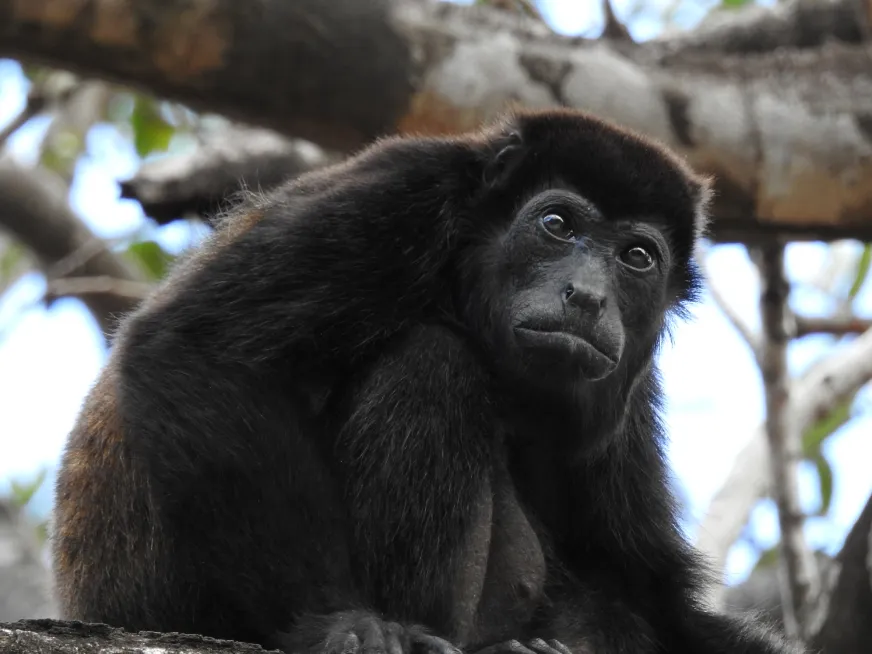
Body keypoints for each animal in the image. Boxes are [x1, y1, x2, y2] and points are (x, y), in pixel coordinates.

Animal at [51, 108, 802, 654]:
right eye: (556, 224)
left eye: (638, 256)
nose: (588, 296)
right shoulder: (403, 197)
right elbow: (198, 347)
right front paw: (339, 623)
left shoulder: (632, 385)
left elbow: (640, 580)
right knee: (432, 362)